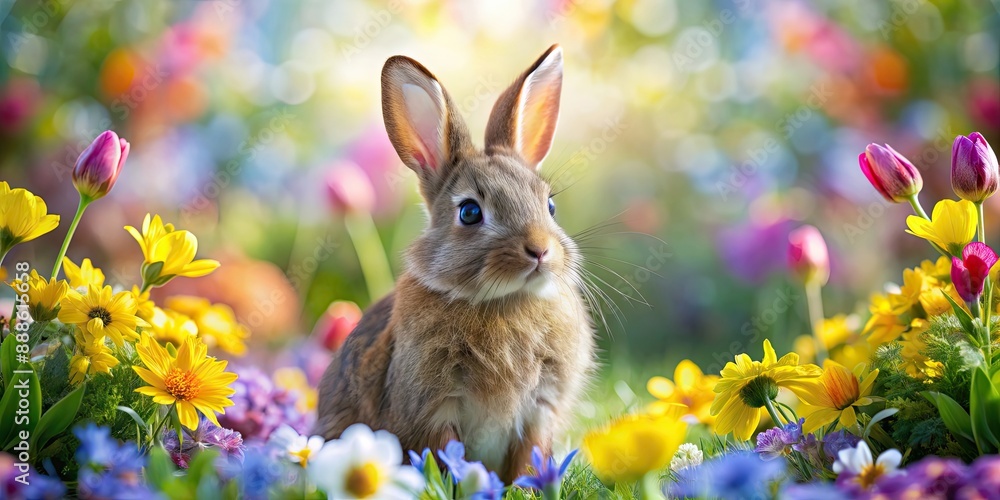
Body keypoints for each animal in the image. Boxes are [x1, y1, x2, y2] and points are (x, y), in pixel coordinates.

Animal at [314, 45, 592, 482]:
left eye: (550, 206)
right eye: (470, 213)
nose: (540, 250)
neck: (503, 302)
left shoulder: (541, 408)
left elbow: (530, 456)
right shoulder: (433, 409)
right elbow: (447, 456)